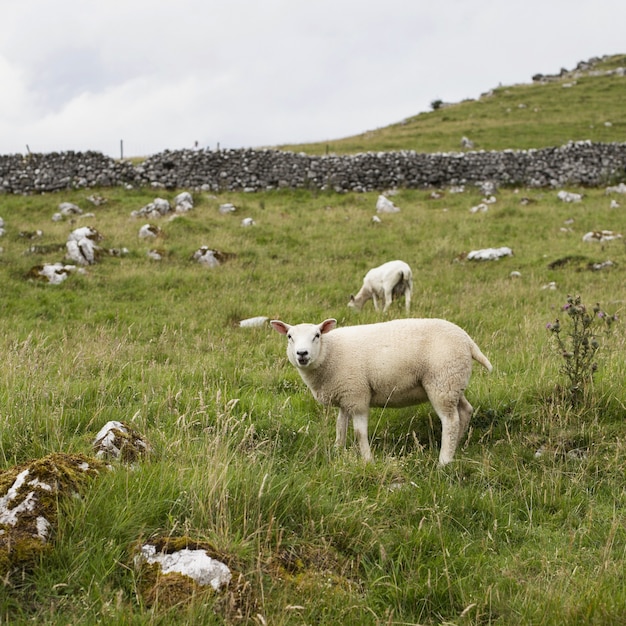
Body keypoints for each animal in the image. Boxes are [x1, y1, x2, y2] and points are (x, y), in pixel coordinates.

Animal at [270, 316, 490, 464]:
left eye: (316, 335)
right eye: (289, 336)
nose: (302, 353)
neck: (330, 352)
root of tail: (467, 340)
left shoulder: (357, 395)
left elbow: (359, 432)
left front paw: (368, 460)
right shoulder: (345, 396)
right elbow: (340, 427)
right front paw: (337, 451)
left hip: (442, 381)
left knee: (450, 421)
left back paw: (444, 461)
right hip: (453, 383)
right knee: (465, 411)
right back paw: (457, 446)